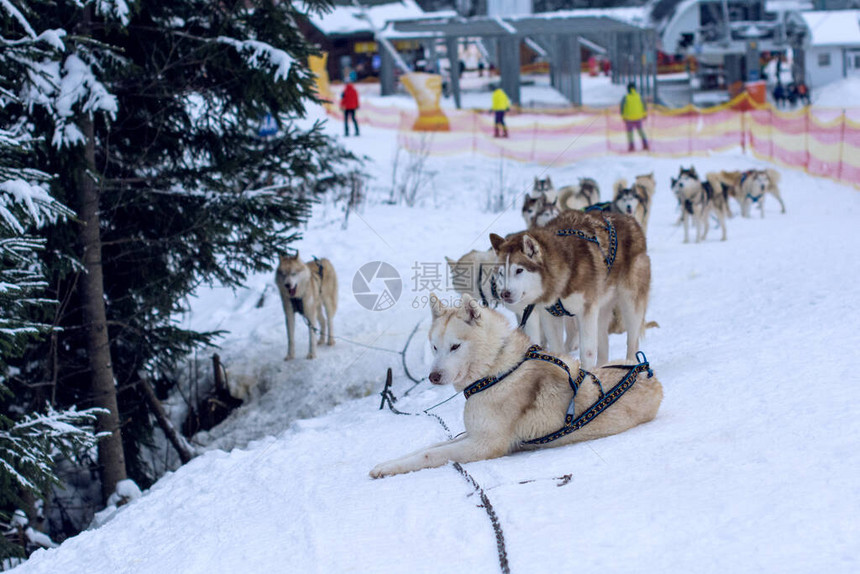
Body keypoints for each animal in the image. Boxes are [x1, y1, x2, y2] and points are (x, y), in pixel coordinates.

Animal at [366, 294, 660, 480]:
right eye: (435, 347)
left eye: (455, 346)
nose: (433, 376)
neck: (497, 369)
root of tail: (647, 372)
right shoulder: (470, 434)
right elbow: (428, 447)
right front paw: (387, 464)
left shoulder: (483, 445)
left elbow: (430, 455)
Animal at [488, 210, 648, 368]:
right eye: (501, 273)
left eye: (519, 270)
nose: (504, 294)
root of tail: (628, 218)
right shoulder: (550, 315)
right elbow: (557, 350)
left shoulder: (586, 311)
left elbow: (587, 352)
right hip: (602, 309)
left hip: (630, 304)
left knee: (632, 341)